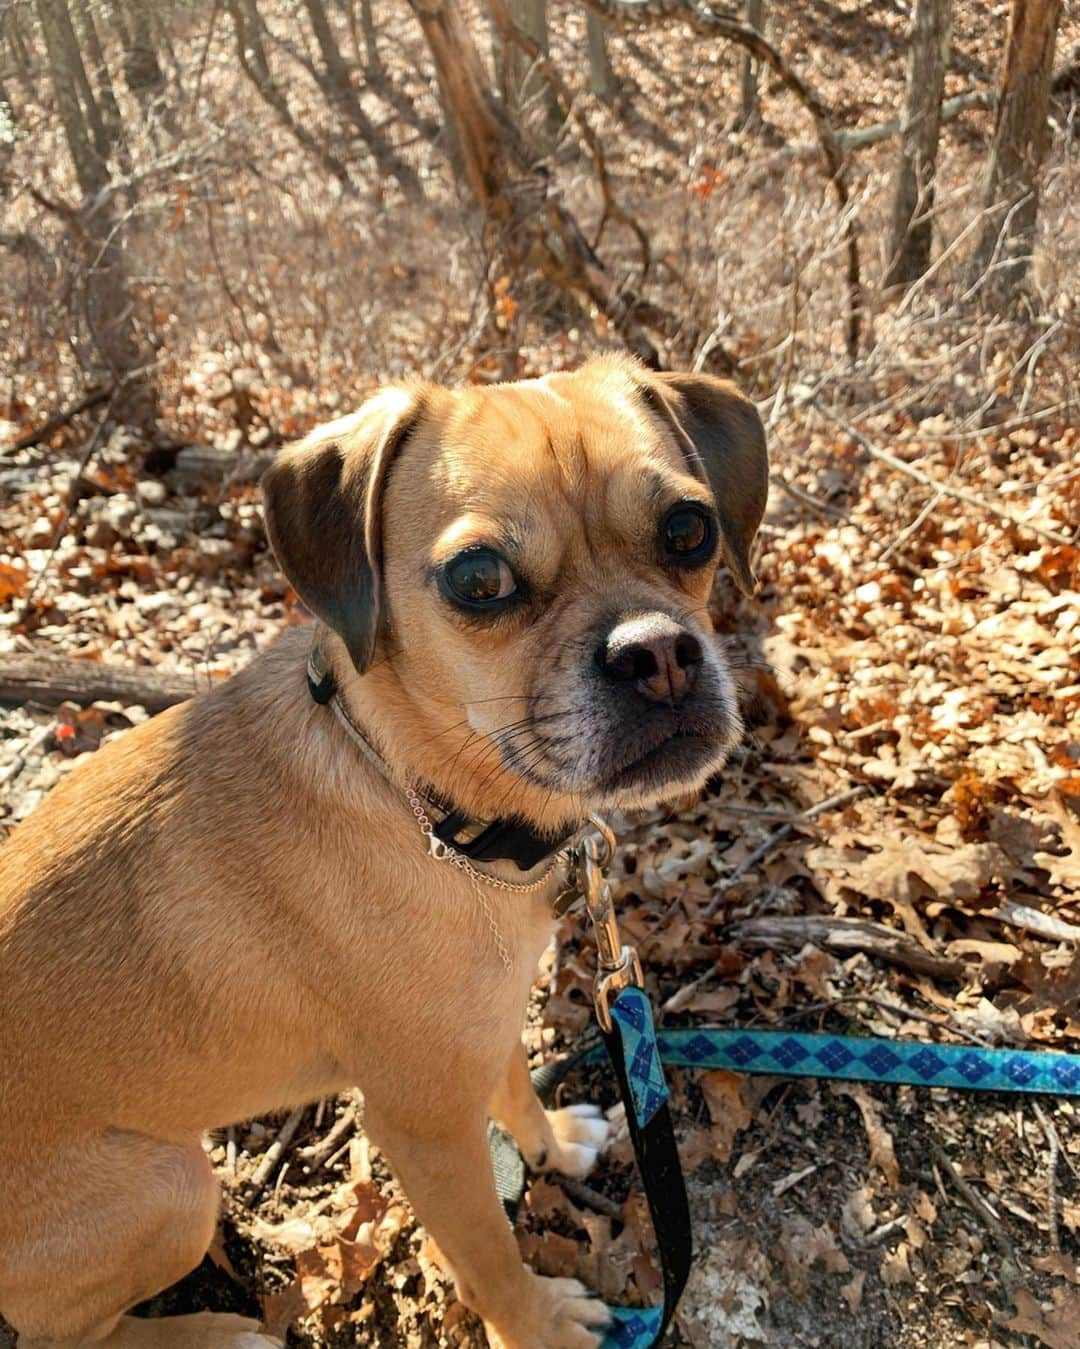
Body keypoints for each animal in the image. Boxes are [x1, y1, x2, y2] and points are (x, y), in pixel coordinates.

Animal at [0, 353, 765, 1343]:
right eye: (478, 578)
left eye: (688, 528)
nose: (660, 653)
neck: (428, 804)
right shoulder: (424, 1126)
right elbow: (490, 1257)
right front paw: (541, 1325)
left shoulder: (485, 1029)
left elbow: (515, 1090)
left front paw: (555, 1146)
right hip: (170, 1188)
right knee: (67, 1333)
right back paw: (212, 1330)